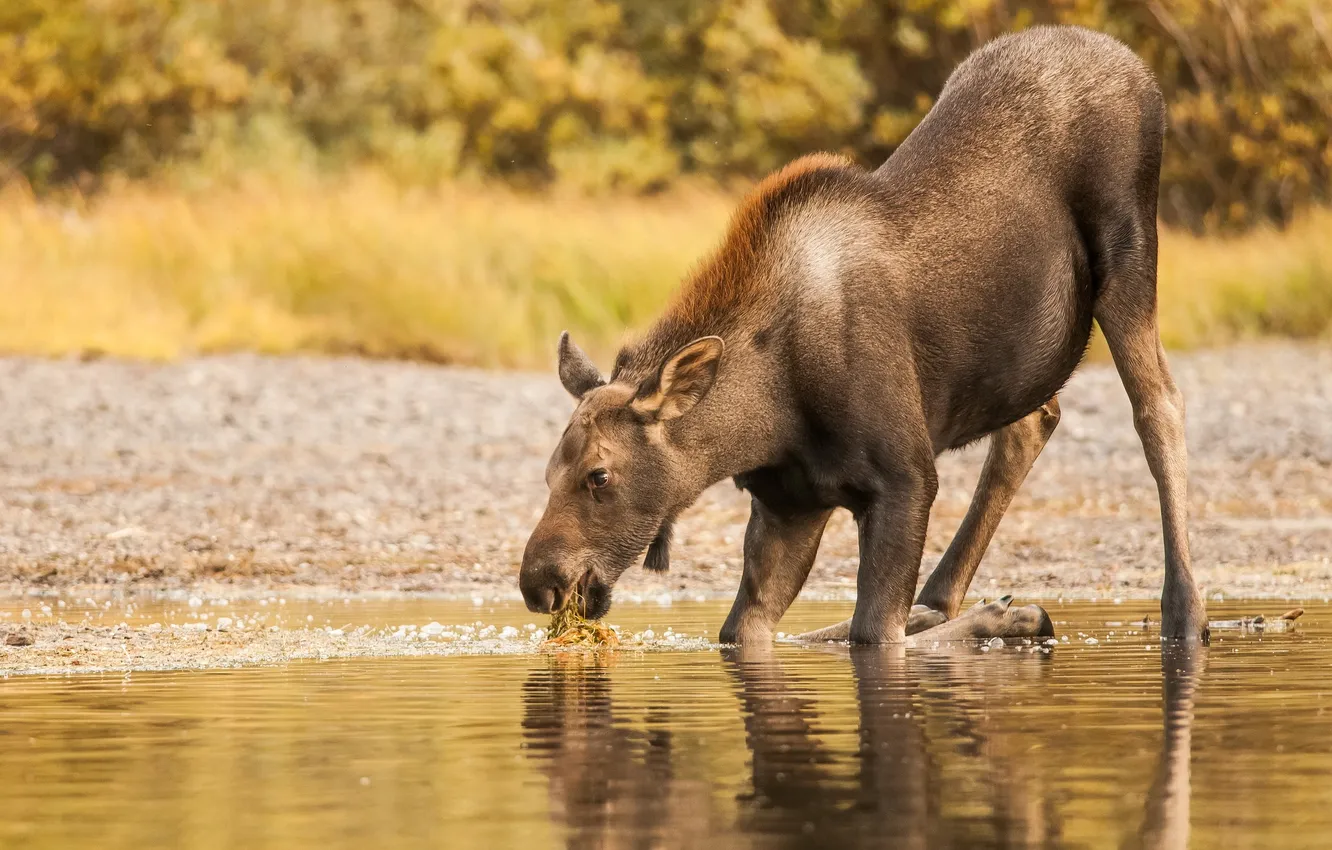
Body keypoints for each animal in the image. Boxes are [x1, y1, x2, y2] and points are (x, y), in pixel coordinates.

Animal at [516, 24, 1209, 644]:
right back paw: (941, 598)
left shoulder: (905, 480)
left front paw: (1010, 616)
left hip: (1129, 254)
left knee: (1158, 405)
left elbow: (873, 634)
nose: (539, 583)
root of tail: (1137, 68)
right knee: (1031, 421)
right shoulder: (790, 505)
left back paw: (1183, 611)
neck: (765, 419)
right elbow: (747, 630)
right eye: (548, 471)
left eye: (599, 475)